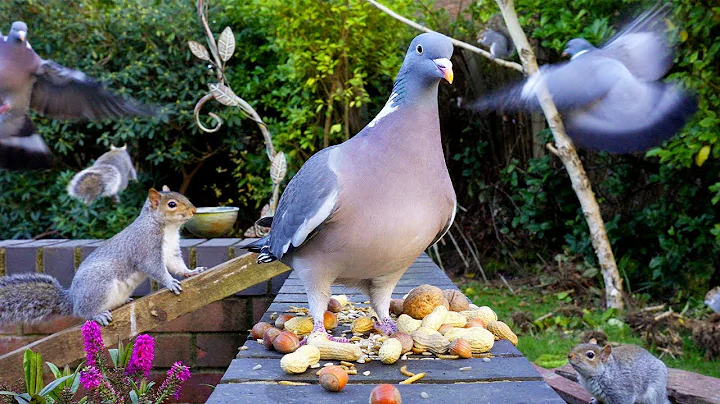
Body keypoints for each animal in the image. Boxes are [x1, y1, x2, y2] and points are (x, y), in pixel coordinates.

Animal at [0, 186, 207, 326]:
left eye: (183, 196)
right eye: (172, 204)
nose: (194, 210)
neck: (167, 228)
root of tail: (73, 297)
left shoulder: (171, 252)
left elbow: (177, 265)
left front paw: (192, 271)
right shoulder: (146, 249)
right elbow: (156, 269)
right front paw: (170, 282)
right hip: (98, 284)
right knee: (83, 311)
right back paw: (96, 314)